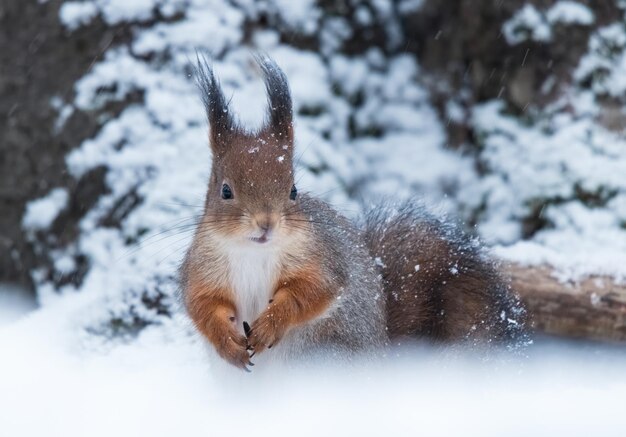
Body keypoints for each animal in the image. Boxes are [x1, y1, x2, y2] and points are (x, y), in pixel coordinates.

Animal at [179, 53, 520, 368]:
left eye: (293, 190)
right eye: (225, 191)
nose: (266, 223)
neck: (255, 252)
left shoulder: (324, 258)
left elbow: (312, 291)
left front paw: (269, 326)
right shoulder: (202, 270)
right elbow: (202, 306)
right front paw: (227, 342)